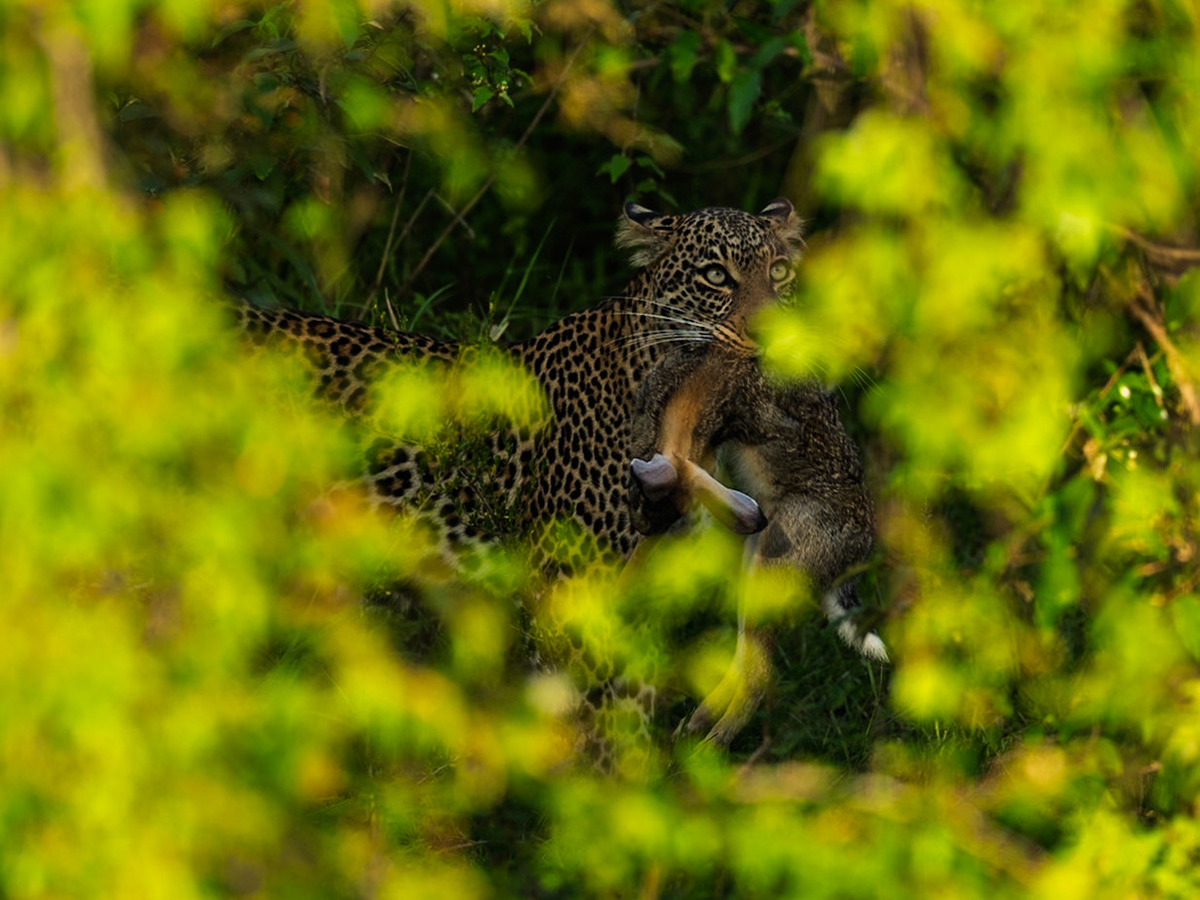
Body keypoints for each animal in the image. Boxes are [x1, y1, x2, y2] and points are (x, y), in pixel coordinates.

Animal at [234, 198, 803, 770]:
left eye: (779, 272)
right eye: (716, 276)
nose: (775, 336)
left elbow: (630, 703)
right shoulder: (572, 581)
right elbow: (582, 709)